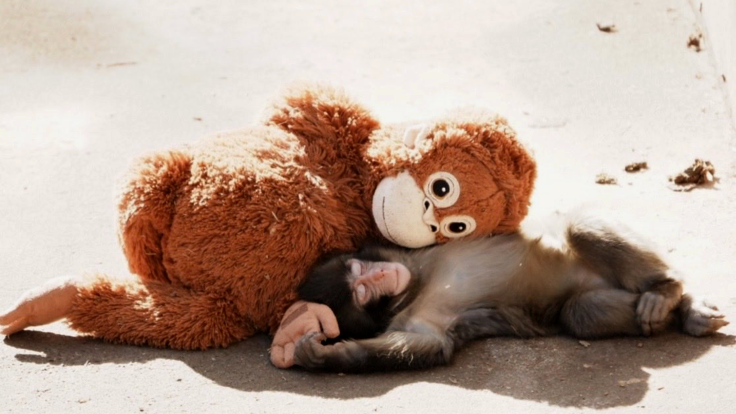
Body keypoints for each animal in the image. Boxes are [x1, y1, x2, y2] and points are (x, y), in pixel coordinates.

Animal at [290, 210, 729, 372]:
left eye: (361, 270)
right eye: (361, 290)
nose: (382, 275)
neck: (415, 285)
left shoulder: (405, 249)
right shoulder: (415, 320)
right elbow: (430, 346)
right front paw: (327, 356)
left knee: (577, 227)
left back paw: (669, 290)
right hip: (592, 295)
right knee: (580, 313)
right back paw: (677, 307)